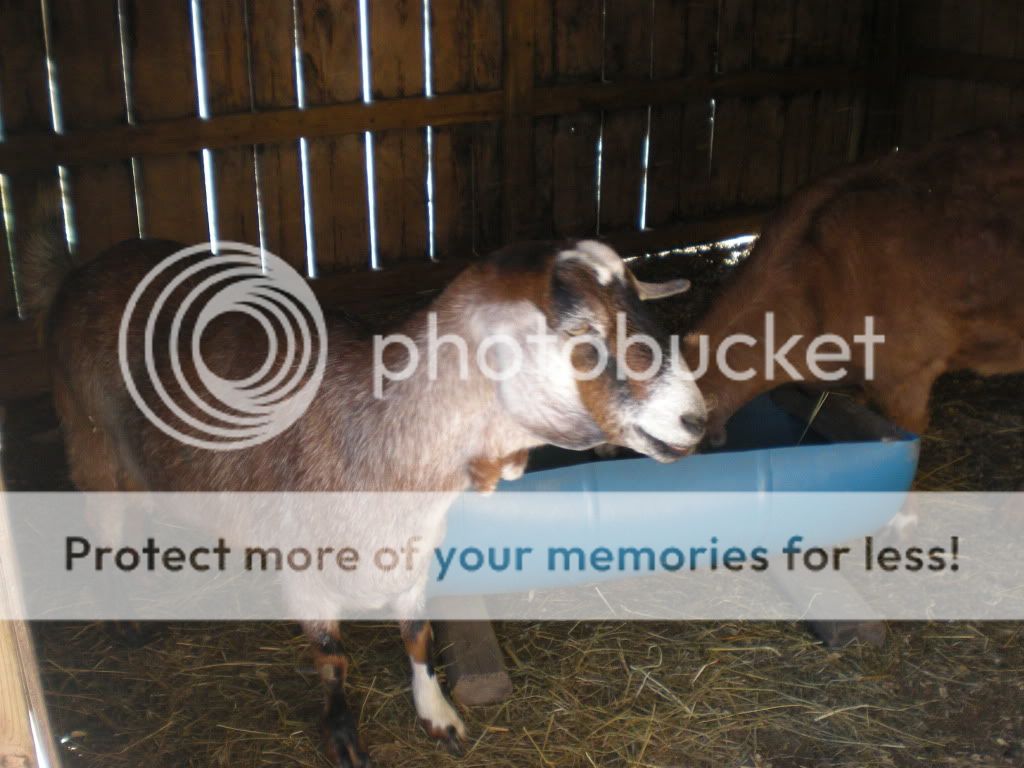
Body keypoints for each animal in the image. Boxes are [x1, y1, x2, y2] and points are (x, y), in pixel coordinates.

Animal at [22, 229, 706, 766]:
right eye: (583, 333)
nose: (695, 419)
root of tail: (86, 266)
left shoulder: (413, 549)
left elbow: (417, 635)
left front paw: (437, 714)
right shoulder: (305, 566)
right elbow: (333, 658)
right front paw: (344, 737)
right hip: (91, 440)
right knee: (101, 520)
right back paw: (123, 618)